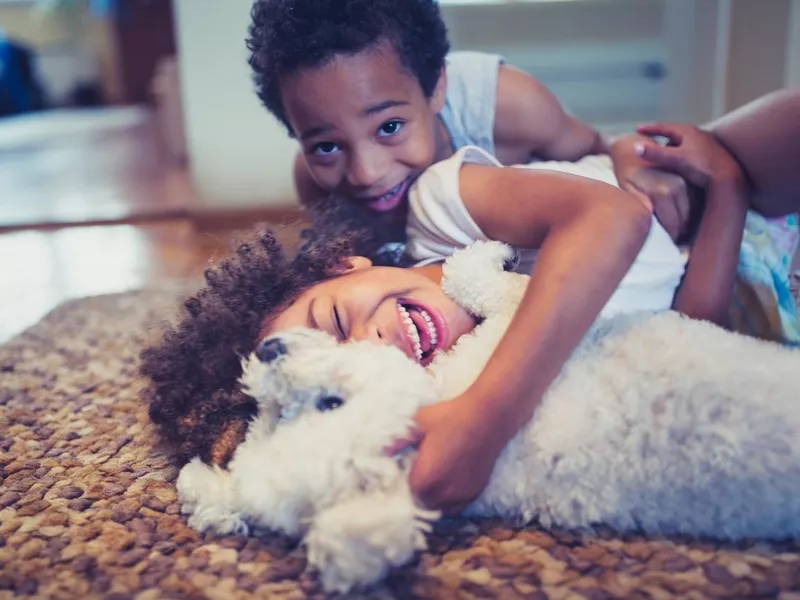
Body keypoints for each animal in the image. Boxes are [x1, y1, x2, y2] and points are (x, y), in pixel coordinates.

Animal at [175, 240, 800, 596]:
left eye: (308, 407)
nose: (268, 351)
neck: (436, 399)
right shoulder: (510, 338)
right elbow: (490, 284)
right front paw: (493, 254)